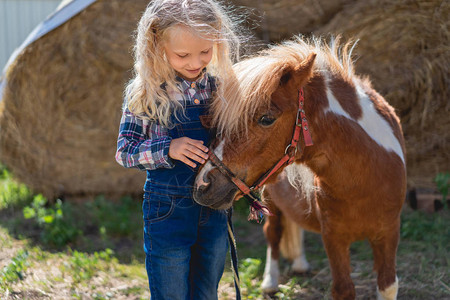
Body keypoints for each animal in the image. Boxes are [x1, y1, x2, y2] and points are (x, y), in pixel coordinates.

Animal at [193, 35, 408, 300]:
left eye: (266, 118)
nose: (203, 185)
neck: (364, 179)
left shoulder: (388, 233)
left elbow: (387, 284)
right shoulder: (334, 237)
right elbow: (344, 289)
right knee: (273, 235)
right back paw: (270, 281)